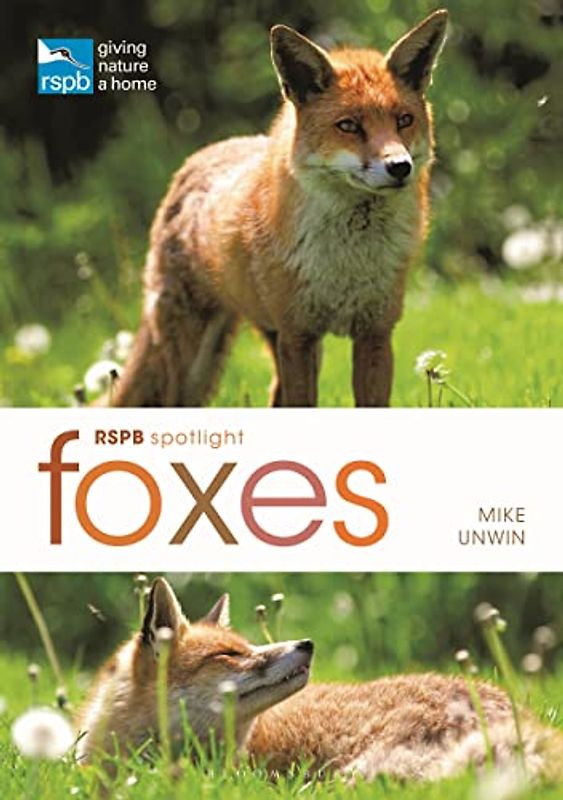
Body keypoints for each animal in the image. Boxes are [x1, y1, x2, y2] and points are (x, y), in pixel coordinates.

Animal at [111, 10, 449, 408]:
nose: (400, 167)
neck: (347, 261)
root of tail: (199, 158)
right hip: (194, 355)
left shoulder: (375, 334)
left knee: (274, 396)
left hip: (270, 340)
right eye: (349, 126)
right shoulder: (298, 335)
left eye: (404, 120)